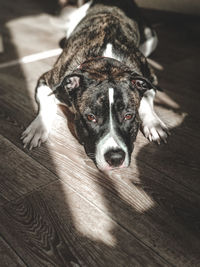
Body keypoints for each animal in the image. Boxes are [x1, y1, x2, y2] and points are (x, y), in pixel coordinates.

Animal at [21, 0, 169, 172]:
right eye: (91, 117)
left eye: (128, 116)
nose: (115, 158)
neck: (106, 64)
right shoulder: (47, 81)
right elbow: (47, 105)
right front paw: (37, 128)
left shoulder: (150, 77)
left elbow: (146, 98)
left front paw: (154, 123)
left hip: (152, 39)